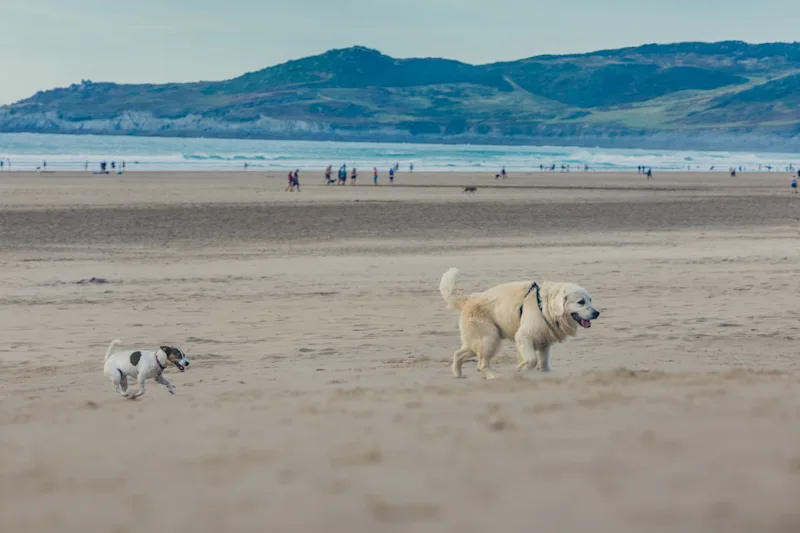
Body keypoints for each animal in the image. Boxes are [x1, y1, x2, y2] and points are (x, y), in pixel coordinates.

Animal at [438, 266, 600, 378]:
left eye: (590, 300)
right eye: (581, 302)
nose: (597, 313)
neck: (545, 306)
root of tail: (468, 299)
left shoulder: (545, 342)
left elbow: (543, 362)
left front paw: (545, 374)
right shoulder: (523, 337)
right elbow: (532, 359)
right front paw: (522, 368)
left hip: (479, 341)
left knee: (458, 354)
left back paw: (458, 374)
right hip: (489, 339)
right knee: (481, 364)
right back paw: (493, 377)